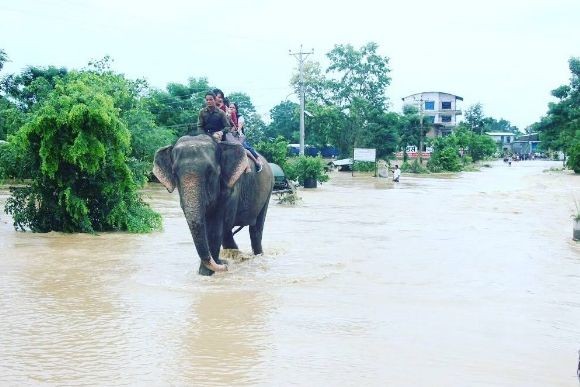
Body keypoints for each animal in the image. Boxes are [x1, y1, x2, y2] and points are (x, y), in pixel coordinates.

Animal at [152, 135, 274, 278]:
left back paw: (256, 255)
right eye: (174, 173)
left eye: (210, 172)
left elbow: (216, 229)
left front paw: (206, 273)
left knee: (255, 230)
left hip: (269, 189)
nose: (225, 266)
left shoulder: (231, 188)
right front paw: (213, 268)